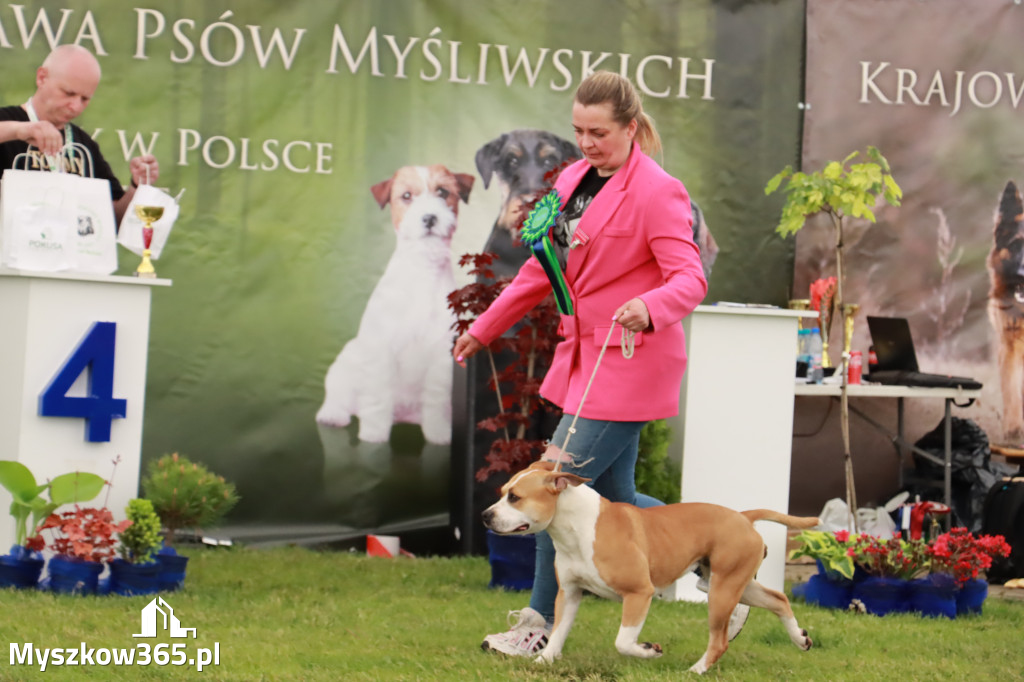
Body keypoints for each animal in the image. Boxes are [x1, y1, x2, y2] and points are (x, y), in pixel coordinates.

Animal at [313, 163, 473, 440]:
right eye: (406, 196)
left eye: (443, 192)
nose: (429, 218)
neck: (423, 268)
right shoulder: (381, 347)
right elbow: (378, 398)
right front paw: (374, 437)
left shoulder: (441, 356)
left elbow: (437, 398)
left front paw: (439, 434)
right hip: (347, 359)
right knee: (339, 394)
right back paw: (333, 415)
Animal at [483, 458, 819, 671]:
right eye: (501, 493)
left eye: (515, 497)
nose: (486, 515)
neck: (576, 526)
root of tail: (743, 516)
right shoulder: (569, 593)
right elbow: (558, 633)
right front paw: (543, 661)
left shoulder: (638, 593)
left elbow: (623, 640)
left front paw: (648, 651)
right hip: (732, 583)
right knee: (779, 599)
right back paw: (799, 638)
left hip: (723, 590)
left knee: (719, 641)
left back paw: (696, 670)